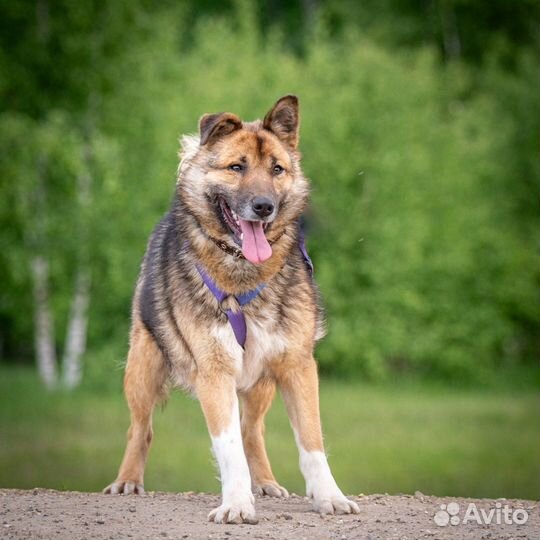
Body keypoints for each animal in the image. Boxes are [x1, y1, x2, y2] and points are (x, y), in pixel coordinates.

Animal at [104, 94, 360, 524]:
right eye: (236, 167)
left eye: (277, 169)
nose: (264, 206)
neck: (242, 270)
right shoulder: (214, 371)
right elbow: (228, 448)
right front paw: (237, 503)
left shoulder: (297, 365)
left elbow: (311, 442)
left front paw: (329, 496)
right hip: (143, 366)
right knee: (140, 428)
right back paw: (127, 480)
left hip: (262, 382)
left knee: (253, 430)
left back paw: (267, 482)